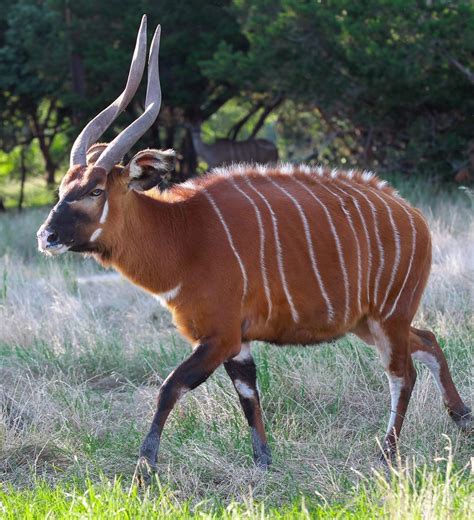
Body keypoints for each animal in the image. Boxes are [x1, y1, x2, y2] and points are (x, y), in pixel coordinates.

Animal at [37, 16, 470, 482]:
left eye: (95, 190)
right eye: (63, 187)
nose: (46, 236)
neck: (184, 233)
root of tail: (415, 217)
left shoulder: (220, 335)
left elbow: (170, 387)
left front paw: (144, 466)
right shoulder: (237, 341)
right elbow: (248, 394)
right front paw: (263, 461)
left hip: (388, 317)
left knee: (402, 372)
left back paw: (388, 452)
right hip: (368, 321)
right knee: (428, 340)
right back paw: (461, 418)